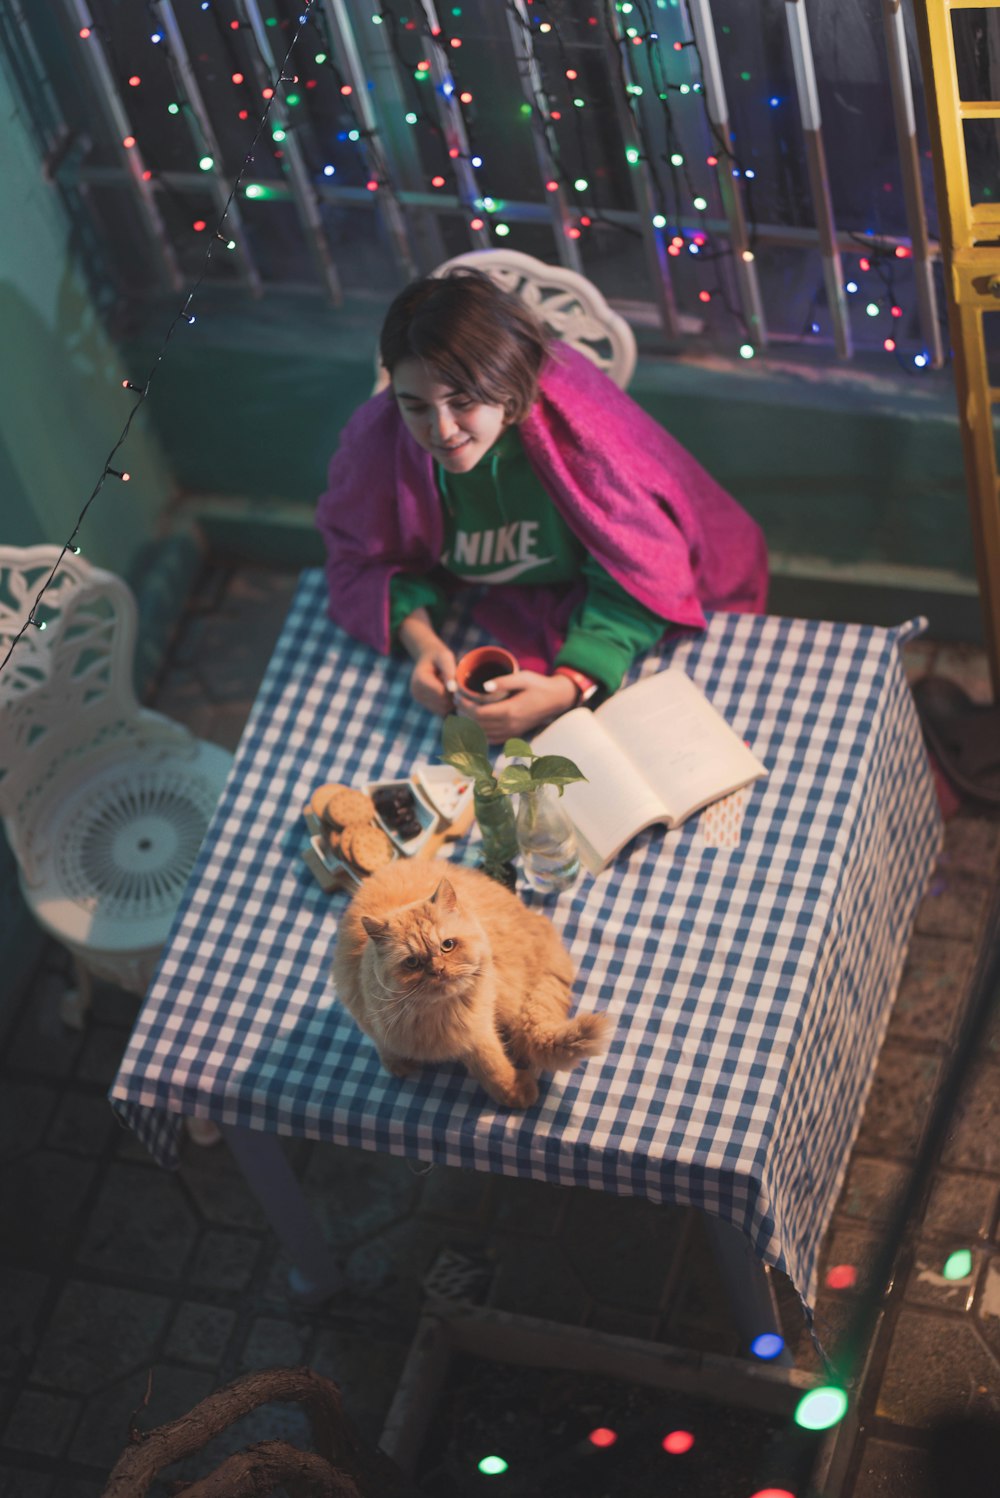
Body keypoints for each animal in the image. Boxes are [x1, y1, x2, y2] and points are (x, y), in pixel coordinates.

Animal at [332, 856, 610, 1114]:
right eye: (412, 962)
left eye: (447, 945)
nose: (437, 970)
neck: (435, 1015)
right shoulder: (366, 1015)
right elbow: (384, 1045)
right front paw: (398, 1065)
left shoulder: (478, 1032)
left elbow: (493, 1068)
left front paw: (515, 1092)